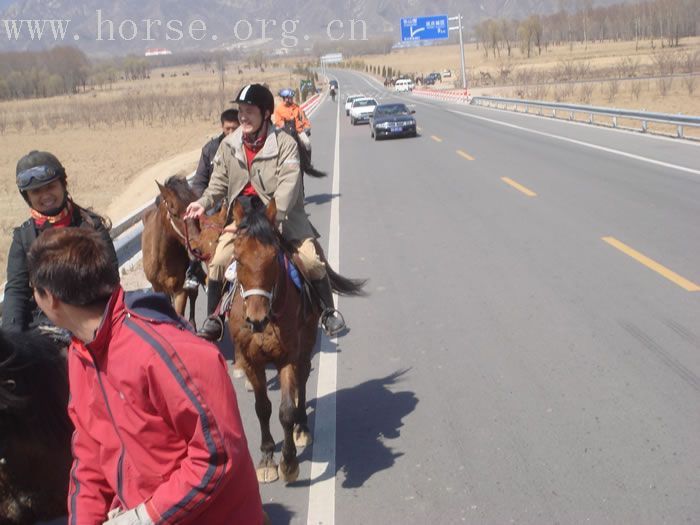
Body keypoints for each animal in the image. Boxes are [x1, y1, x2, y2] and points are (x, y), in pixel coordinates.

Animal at [191, 198, 366, 484]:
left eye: (274, 257)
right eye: (237, 257)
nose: (256, 319)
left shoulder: (287, 357)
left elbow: (285, 410)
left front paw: (289, 462)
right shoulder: (251, 361)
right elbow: (262, 407)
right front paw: (266, 458)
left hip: (306, 343)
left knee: (302, 381)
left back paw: (302, 427)